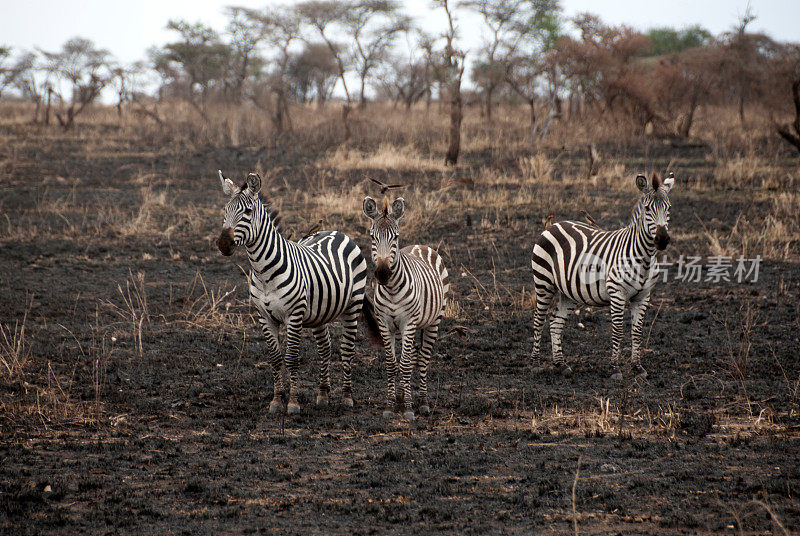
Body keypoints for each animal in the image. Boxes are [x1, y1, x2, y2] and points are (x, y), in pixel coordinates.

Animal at [216, 172, 382, 414]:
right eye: (225, 210)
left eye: (247, 211)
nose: (223, 244)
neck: (264, 272)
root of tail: (334, 231)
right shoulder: (264, 317)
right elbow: (275, 359)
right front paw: (277, 401)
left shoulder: (293, 316)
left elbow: (292, 358)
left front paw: (293, 403)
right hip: (320, 313)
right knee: (325, 348)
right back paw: (323, 395)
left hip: (353, 306)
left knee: (347, 349)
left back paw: (346, 397)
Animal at [362, 195, 450, 420]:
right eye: (372, 237)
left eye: (396, 237)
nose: (383, 274)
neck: (392, 288)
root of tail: (420, 245)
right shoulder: (385, 324)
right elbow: (393, 364)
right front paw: (390, 405)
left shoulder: (409, 323)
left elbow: (406, 363)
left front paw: (409, 408)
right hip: (401, 328)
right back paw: (401, 396)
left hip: (433, 321)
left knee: (423, 359)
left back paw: (423, 402)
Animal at [532, 171, 676, 376]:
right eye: (648, 209)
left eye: (668, 208)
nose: (662, 239)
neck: (645, 257)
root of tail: (552, 225)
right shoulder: (617, 293)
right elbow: (617, 331)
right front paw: (615, 368)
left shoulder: (643, 296)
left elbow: (637, 332)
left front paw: (637, 366)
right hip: (543, 282)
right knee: (539, 320)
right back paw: (535, 363)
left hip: (568, 291)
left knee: (555, 322)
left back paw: (561, 363)